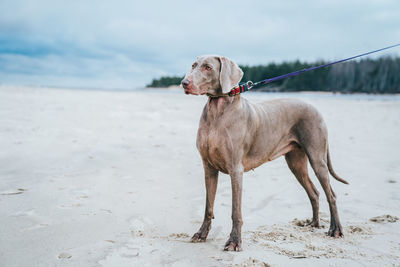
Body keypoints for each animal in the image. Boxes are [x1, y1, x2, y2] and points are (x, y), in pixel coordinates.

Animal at [181, 55, 346, 252]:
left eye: (208, 67)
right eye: (193, 65)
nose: (184, 83)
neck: (217, 111)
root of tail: (316, 109)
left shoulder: (235, 169)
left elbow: (235, 211)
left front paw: (234, 241)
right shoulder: (209, 168)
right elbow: (208, 207)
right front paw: (201, 234)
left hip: (317, 157)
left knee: (331, 195)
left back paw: (335, 229)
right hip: (296, 163)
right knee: (314, 192)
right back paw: (313, 223)